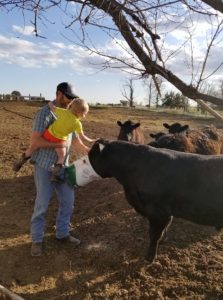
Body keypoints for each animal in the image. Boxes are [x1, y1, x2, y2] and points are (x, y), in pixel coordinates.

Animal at [89, 140, 223, 262]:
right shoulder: (167, 212)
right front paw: (163, 241)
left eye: (92, 154)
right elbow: (164, 229)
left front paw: (149, 258)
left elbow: (154, 235)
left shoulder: (158, 211)